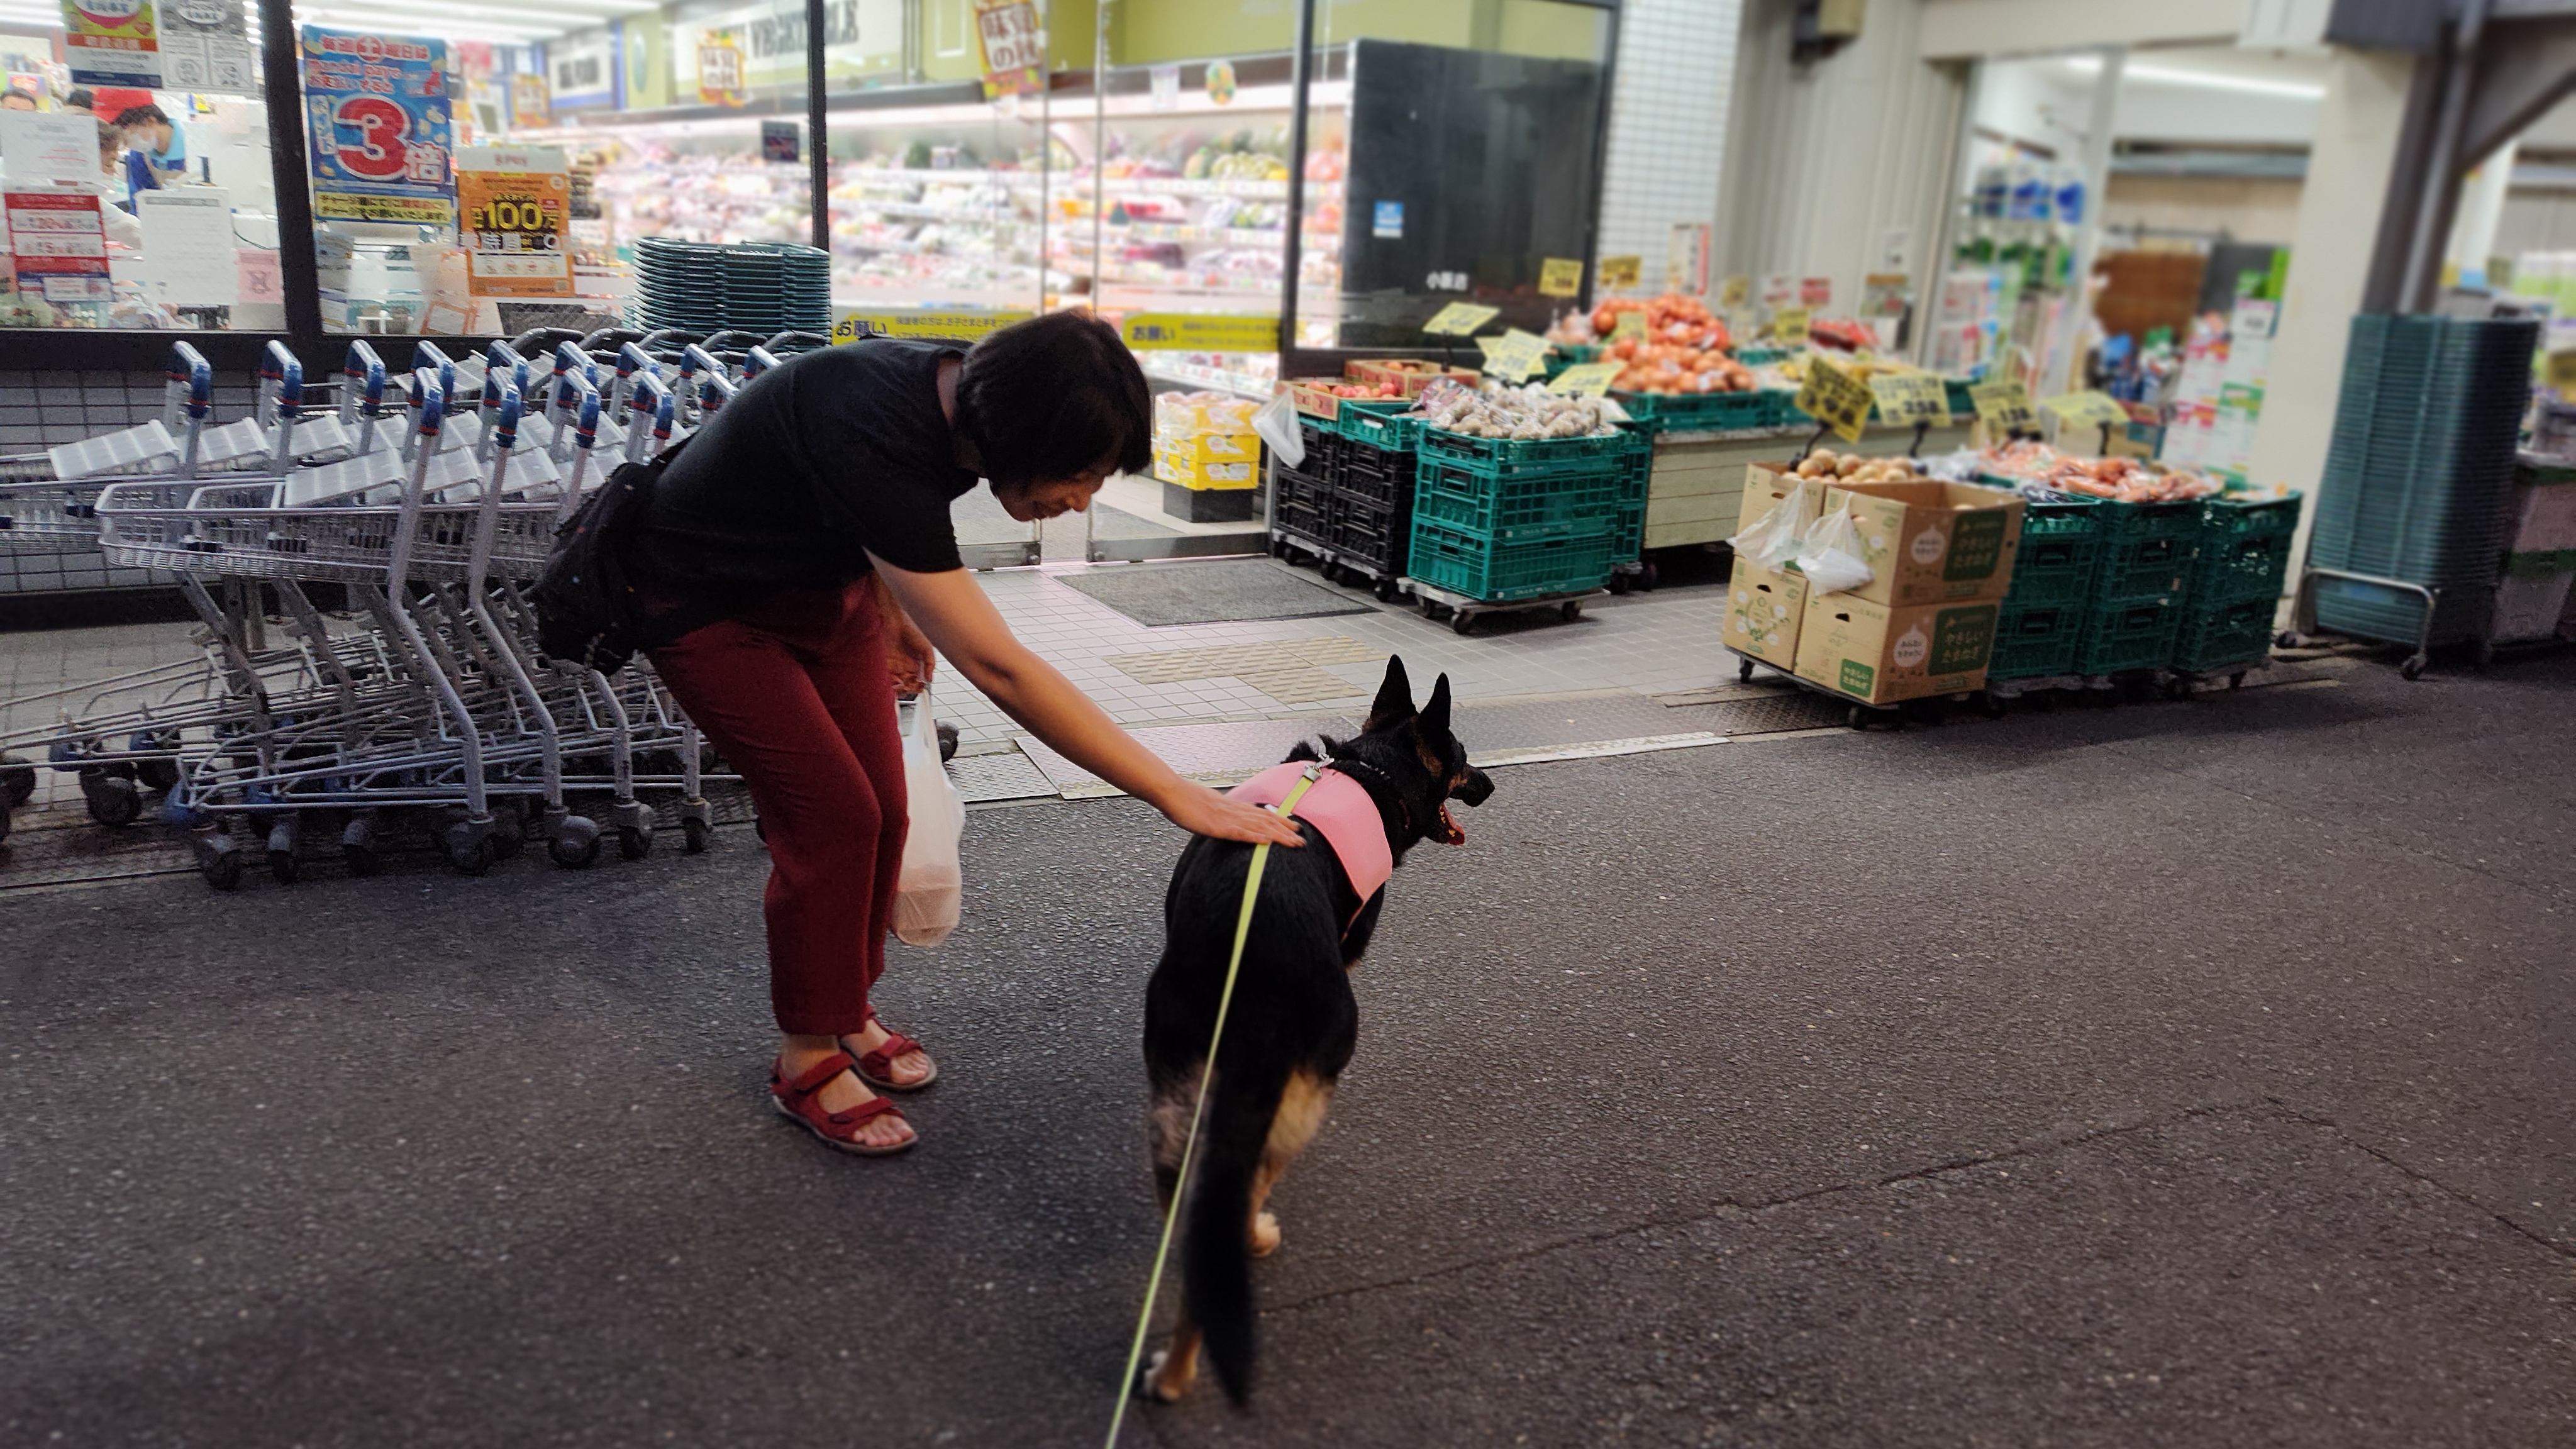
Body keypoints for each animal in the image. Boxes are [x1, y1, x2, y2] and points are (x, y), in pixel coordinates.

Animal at [1138, 655, 1494, 1406]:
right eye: (1463, 760)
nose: (1492, 783)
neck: (1370, 767)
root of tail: (1256, 989)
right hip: (1292, 1105)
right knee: (1243, 1204)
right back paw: (1253, 1246)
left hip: (1178, 1116)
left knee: (1200, 1251)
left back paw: (1173, 1375)